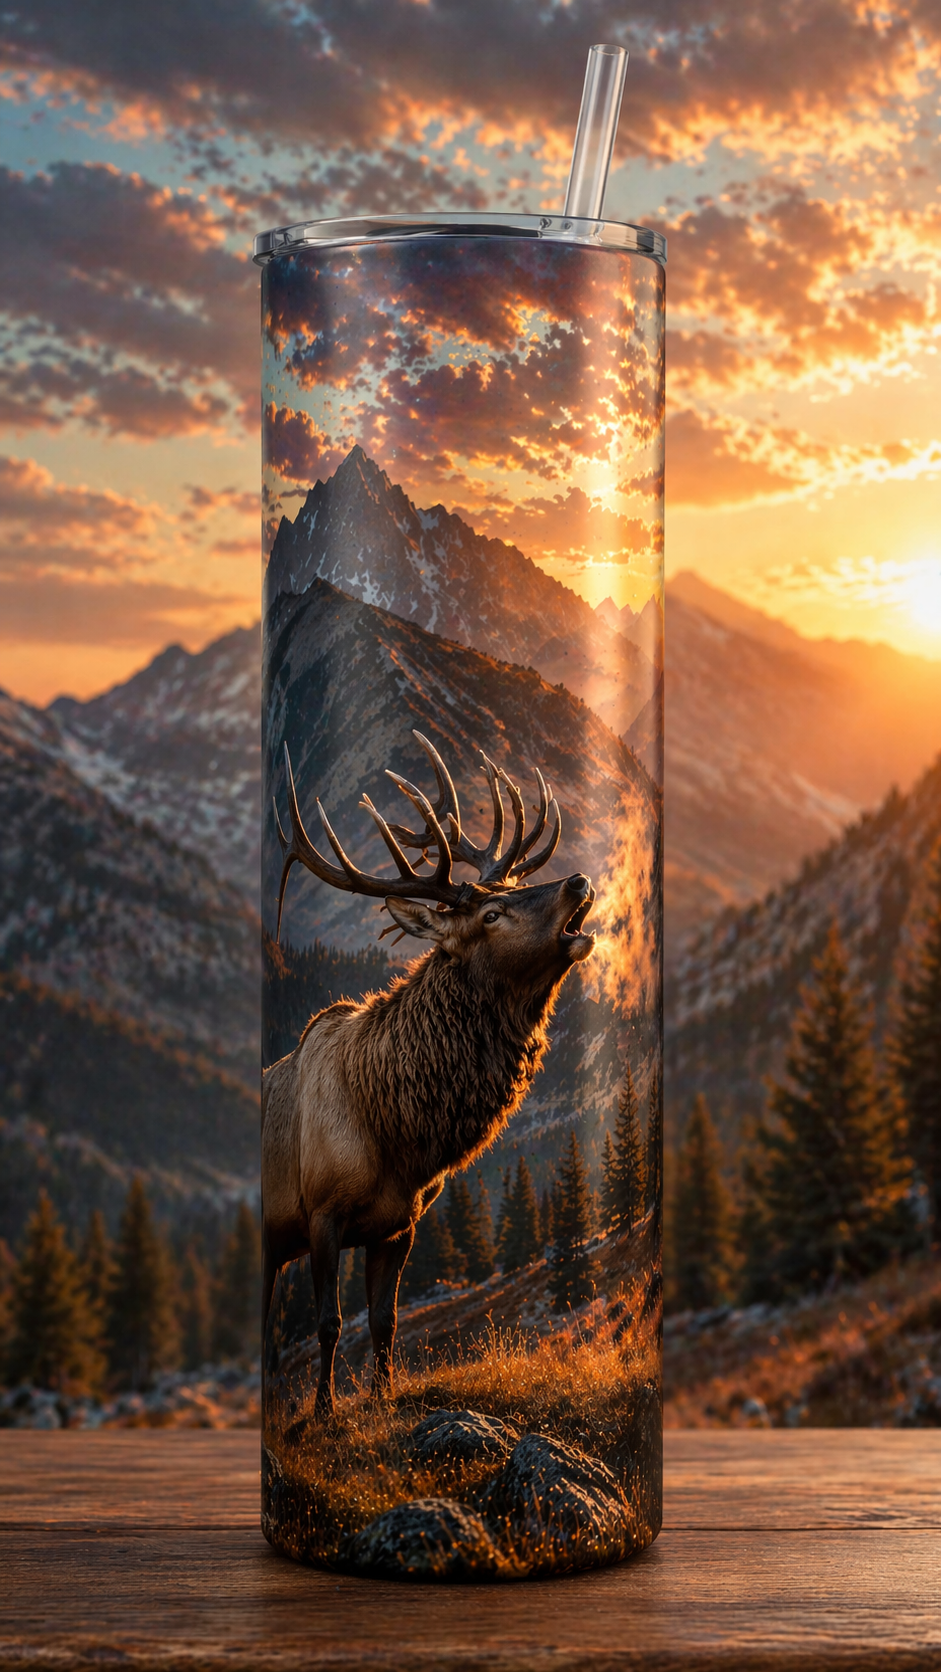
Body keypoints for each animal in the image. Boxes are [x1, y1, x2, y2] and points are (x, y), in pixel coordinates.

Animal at [262, 729, 596, 1415]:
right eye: (490, 916)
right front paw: (322, 1412)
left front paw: (382, 1399)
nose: (578, 881)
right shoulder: (321, 1212)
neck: (399, 1135)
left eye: (512, 889)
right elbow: (330, 1322)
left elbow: (385, 1322)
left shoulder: (401, 1225)